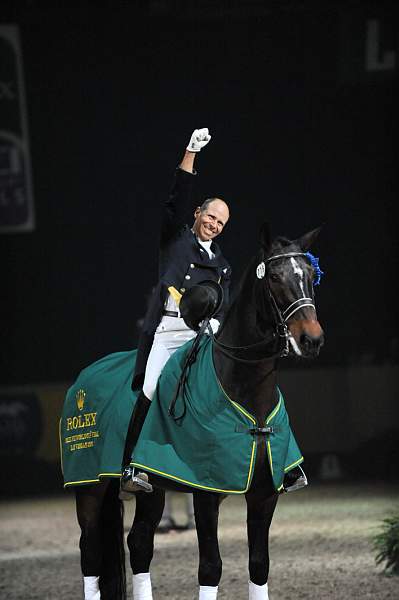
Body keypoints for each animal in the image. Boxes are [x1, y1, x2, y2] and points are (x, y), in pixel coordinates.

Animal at [71, 225, 324, 600]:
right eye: (275, 277)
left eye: (308, 275)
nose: (311, 340)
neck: (245, 393)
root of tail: (85, 377)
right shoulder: (205, 494)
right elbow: (210, 567)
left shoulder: (264, 496)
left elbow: (259, 565)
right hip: (89, 487)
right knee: (90, 552)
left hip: (152, 487)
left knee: (140, 543)